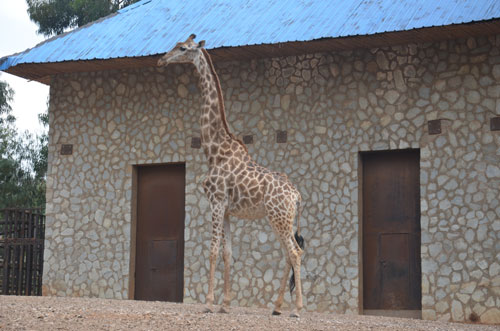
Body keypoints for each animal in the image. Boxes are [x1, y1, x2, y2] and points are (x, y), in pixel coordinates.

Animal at [158, 34, 304, 320]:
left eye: (183, 48)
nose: (161, 60)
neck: (214, 150)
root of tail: (297, 195)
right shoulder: (225, 208)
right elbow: (227, 252)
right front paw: (225, 304)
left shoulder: (215, 202)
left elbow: (213, 250)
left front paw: (208, 302)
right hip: (282, 219)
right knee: (289, 253)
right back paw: (277, 307)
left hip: (279, 218)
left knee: (295, 252)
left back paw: (297, 309)